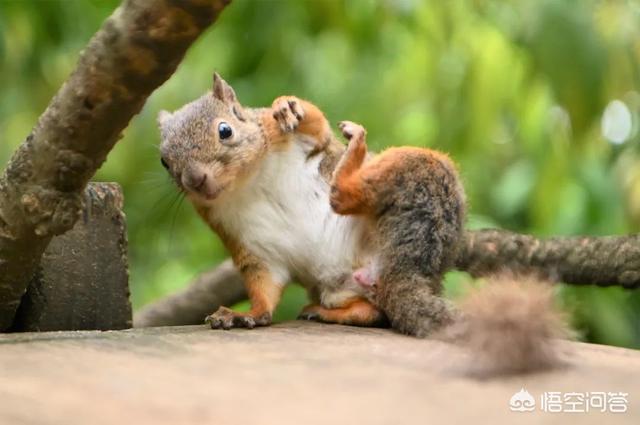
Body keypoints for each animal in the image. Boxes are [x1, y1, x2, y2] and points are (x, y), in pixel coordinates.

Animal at [158, 73, 568, 374]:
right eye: (164, 160)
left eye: (225, 130)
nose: (195, 180)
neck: (246, 182)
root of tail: (406, 272)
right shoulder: (252, 246)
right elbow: (264, 287)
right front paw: (245, 314)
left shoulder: (296, 141)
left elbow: (316, 127)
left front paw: (286, 106)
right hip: (341, 287)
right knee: (373, 311)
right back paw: (324, 312)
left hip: (418, 173)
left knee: (344, 197)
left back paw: (354, 149)